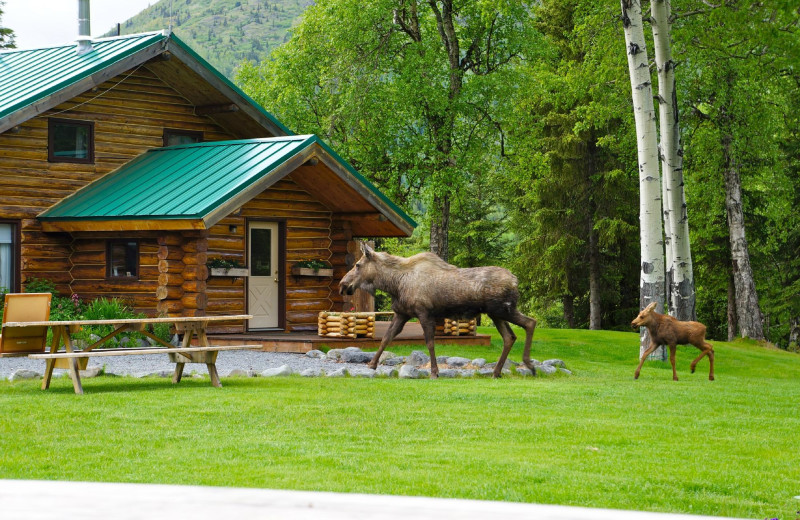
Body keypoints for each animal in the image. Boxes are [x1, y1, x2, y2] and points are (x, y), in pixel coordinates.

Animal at [340, 244, 536, 378]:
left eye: (357, 265)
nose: (342, 285)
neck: (395, 284)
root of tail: (515, 280)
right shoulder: (402, 314)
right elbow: (386, 339)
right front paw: (372, 364)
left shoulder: (424, 313)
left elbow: (430, 343)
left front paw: (435, 371)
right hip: (496, 314)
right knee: (509, 337)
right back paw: (496, 372)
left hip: (504, 310)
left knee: (530, 322)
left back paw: (529, 365)